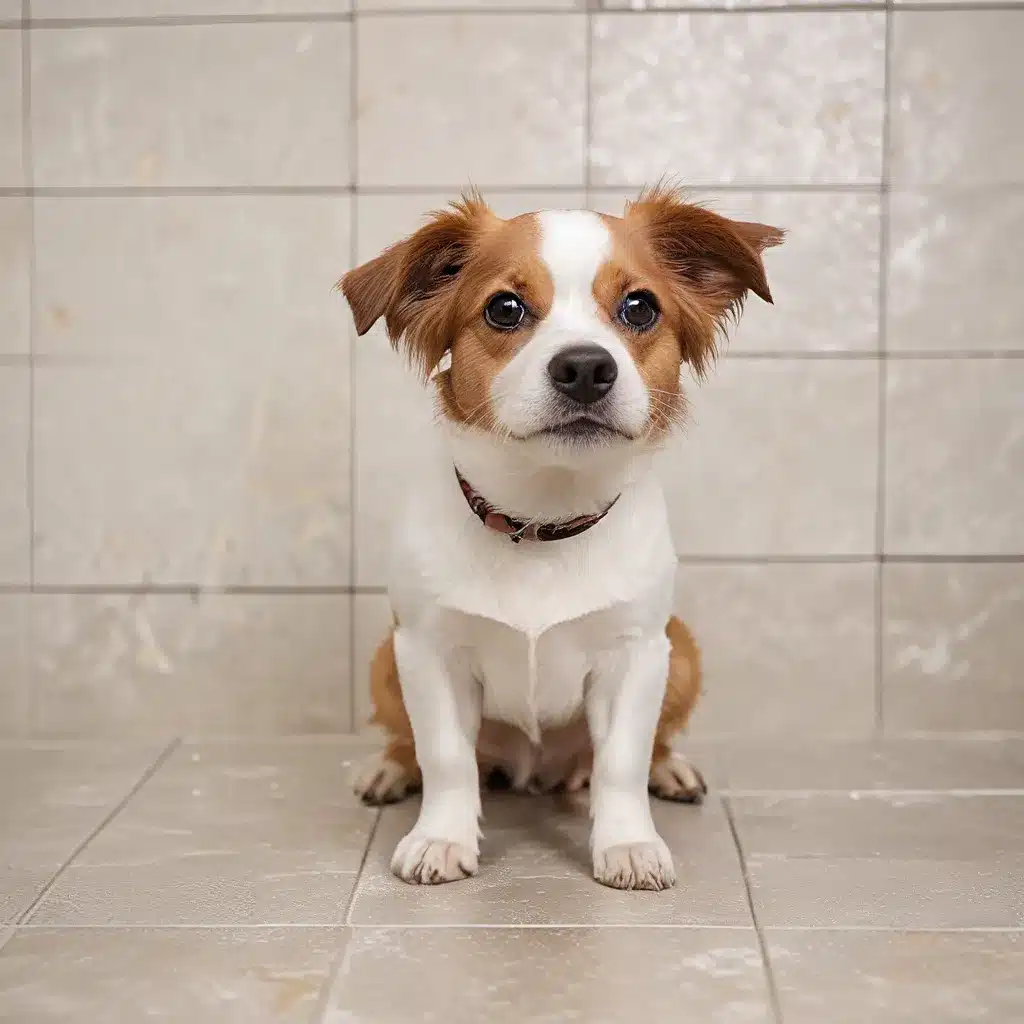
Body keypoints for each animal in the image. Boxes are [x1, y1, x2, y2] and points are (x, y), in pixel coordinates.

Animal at [339, 184, 778, 888]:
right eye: (505, 308)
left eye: (639, 307)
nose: (585, 368)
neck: (542, 524)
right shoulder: (429, 649)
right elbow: (445, 756)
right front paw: (441, 838)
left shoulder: (636, 654)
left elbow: (622, 762)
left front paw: (628, 844)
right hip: (386, 655)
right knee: (413, 743)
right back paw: (389, 768)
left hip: (681, 647)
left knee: (639, 749)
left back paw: (669, 769)